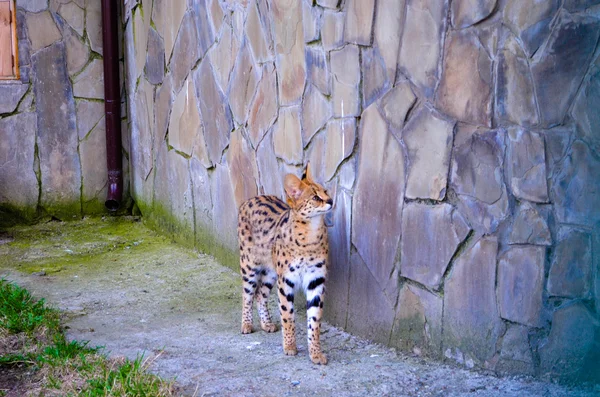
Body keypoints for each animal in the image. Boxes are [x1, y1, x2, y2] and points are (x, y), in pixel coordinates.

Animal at [238, 162, 332, 364]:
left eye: (326, 191)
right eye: (315, 197)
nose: (331, 201)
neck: (311, 234)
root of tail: (251, 198)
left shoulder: (316, 280)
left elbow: (315, 321)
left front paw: (315, 352)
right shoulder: (287, 280)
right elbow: (287, 315)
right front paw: (289, 346)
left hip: (271, 273)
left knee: (260, 294)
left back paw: (266, 323)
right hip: (249, 266)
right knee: (248, 294)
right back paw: (247, 324)